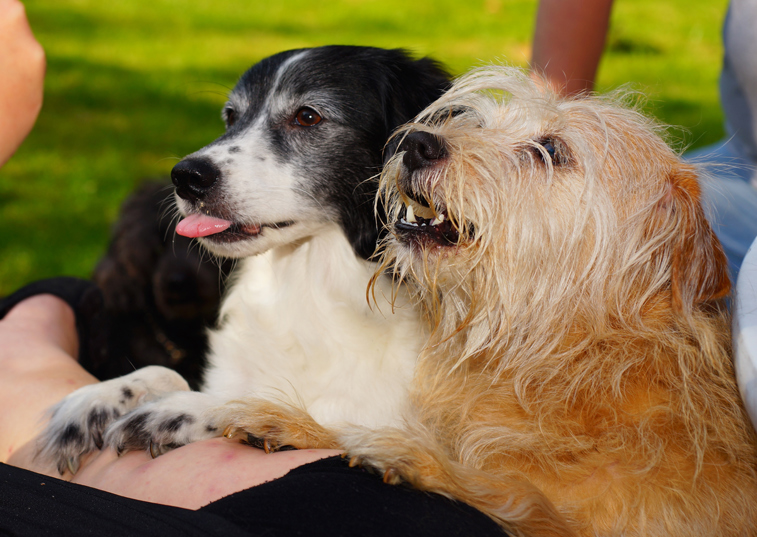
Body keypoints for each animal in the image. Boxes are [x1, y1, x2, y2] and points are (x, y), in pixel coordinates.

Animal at [35, 47, 448, 474]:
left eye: (308, 116)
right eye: (231, 117)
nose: (186, 177)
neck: (308, 284)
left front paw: (187, 410)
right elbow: (165, 371)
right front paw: (100, 398)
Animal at [223, 67, 756, 536]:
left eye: (551, 149)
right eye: (478, 124)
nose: (416, 143)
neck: (558, 352)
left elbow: (516, 494)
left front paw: (416, 459)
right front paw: (303, 427)